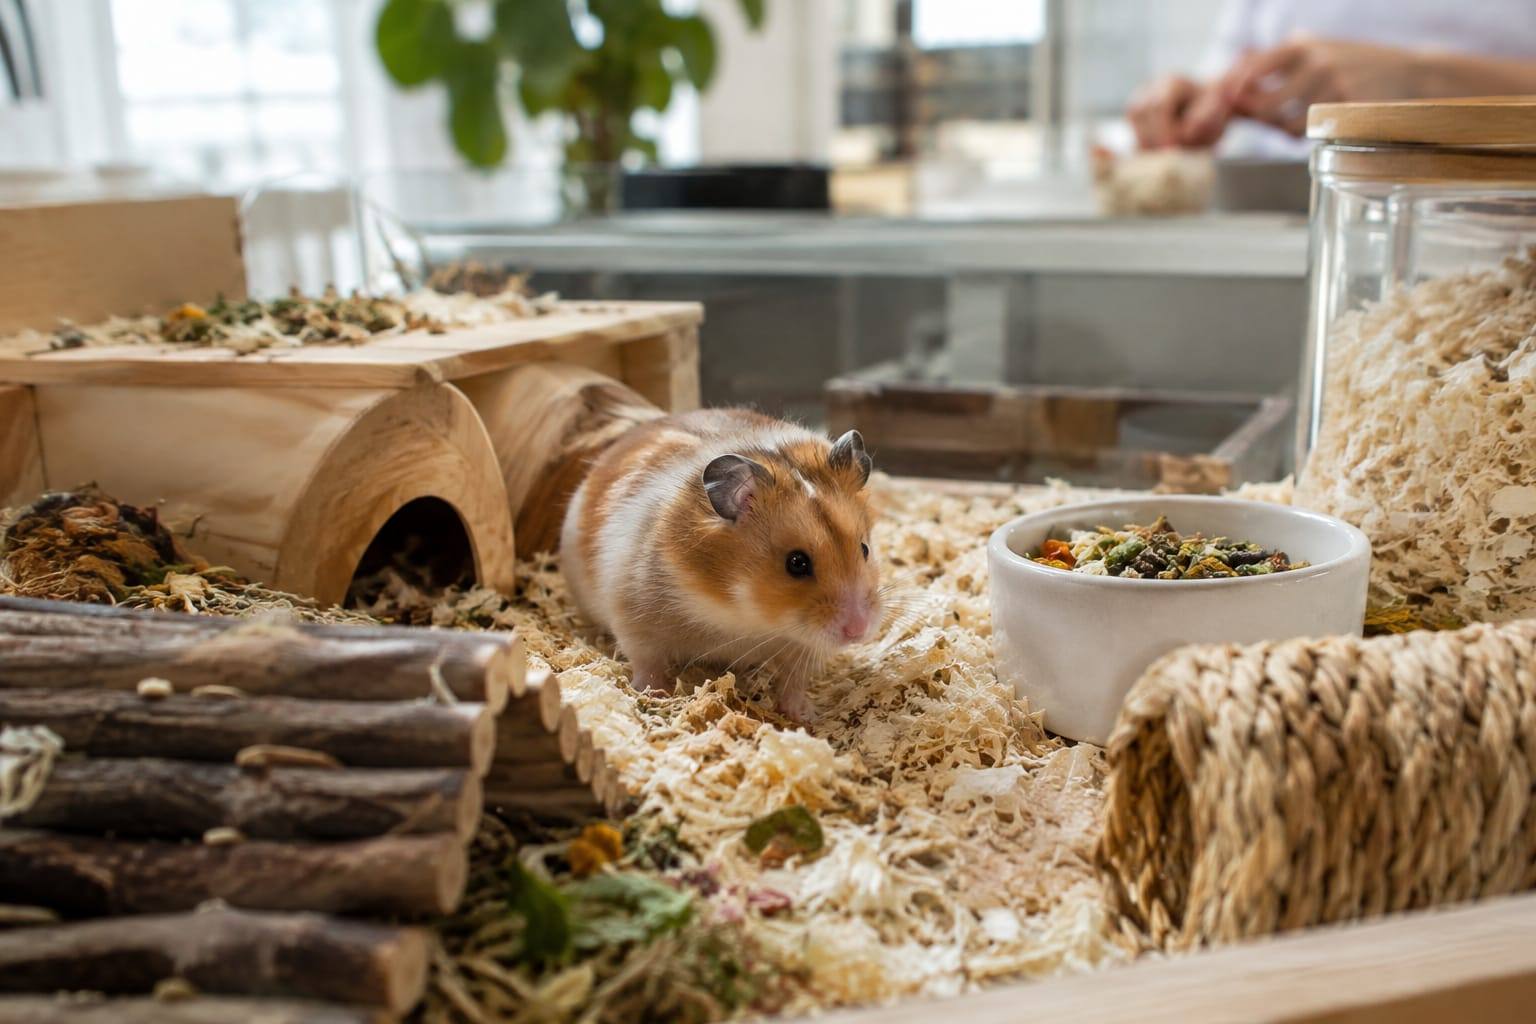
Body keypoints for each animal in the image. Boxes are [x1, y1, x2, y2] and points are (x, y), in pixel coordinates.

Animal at [560, 408, 882, 723]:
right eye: (797, 563)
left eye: (864, 549)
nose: (858, 630)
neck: (737, 610)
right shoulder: (634, 615)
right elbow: (646, 661)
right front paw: (655, 695)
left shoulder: (803, 645)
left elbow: (794, 680)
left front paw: (805, 715)